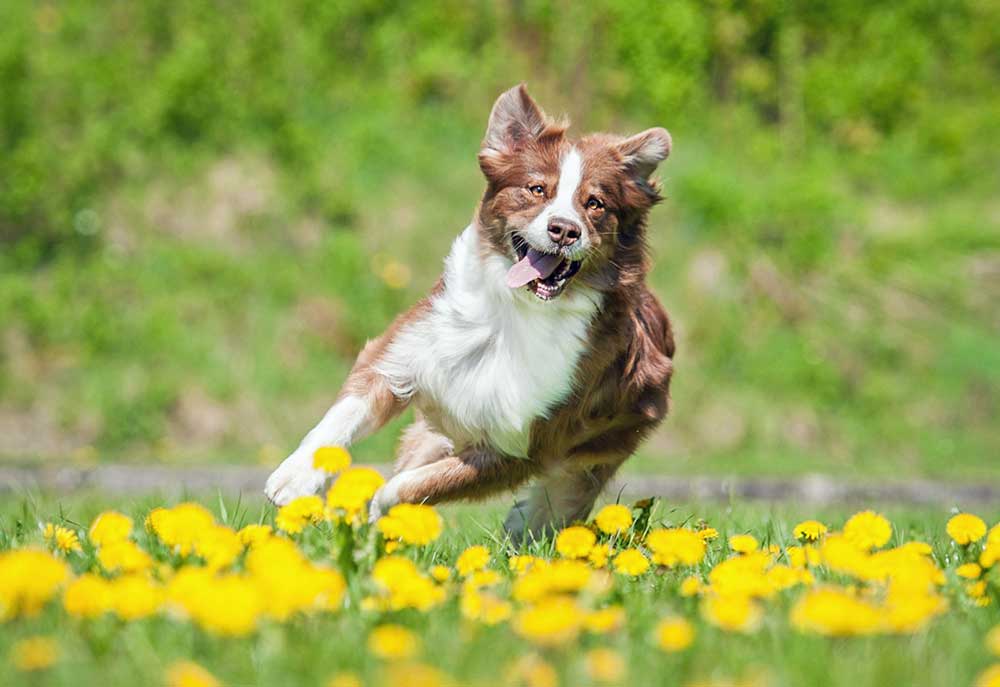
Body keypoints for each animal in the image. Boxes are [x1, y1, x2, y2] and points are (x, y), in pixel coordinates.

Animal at [262, 83, 676, 540]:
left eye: (595, 203)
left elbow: (409, 486)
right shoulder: (403, 356)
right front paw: (294, 478)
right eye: (537, 190)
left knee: (558, 504)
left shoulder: (521, 445)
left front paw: (383, 513)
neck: (514, 312)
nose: (565, 230)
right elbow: (342, 418)